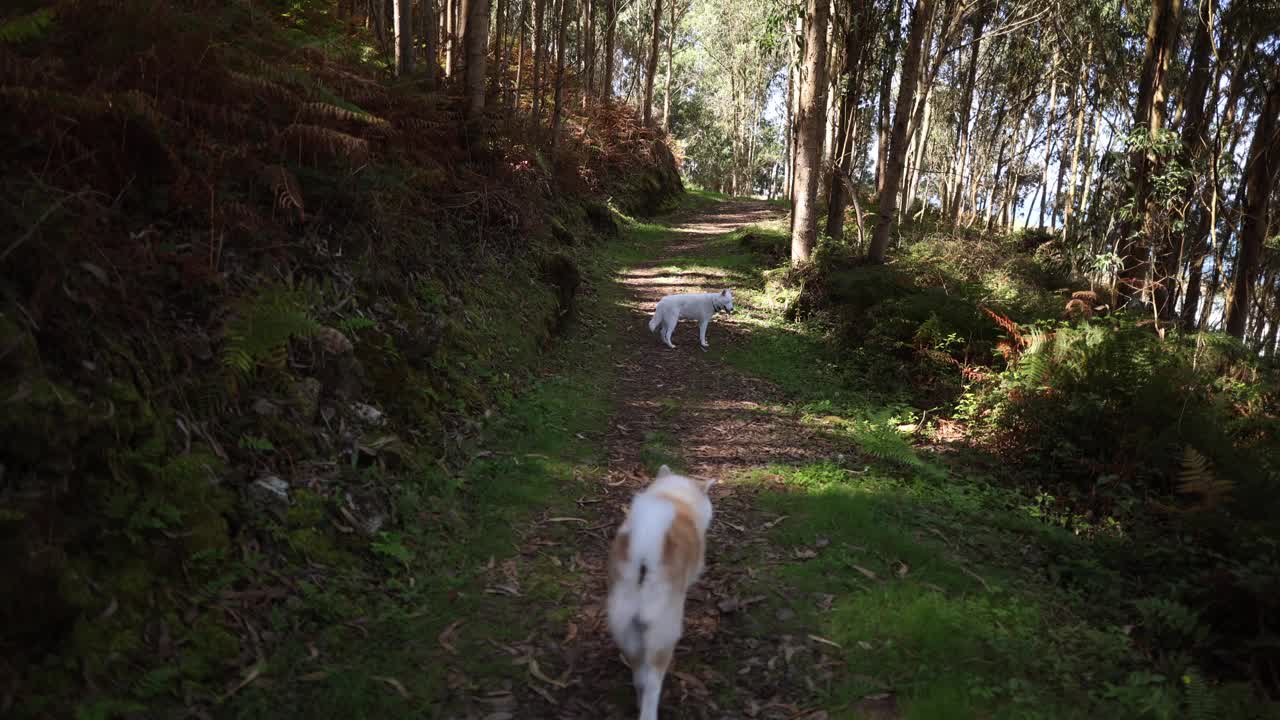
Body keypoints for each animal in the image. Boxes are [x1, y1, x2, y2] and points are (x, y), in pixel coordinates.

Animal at [604, 461, 716, 712]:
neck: (675, 496)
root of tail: (645, 552)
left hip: (626, 625)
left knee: (639, 675)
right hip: (663, 630)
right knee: (652, 682)